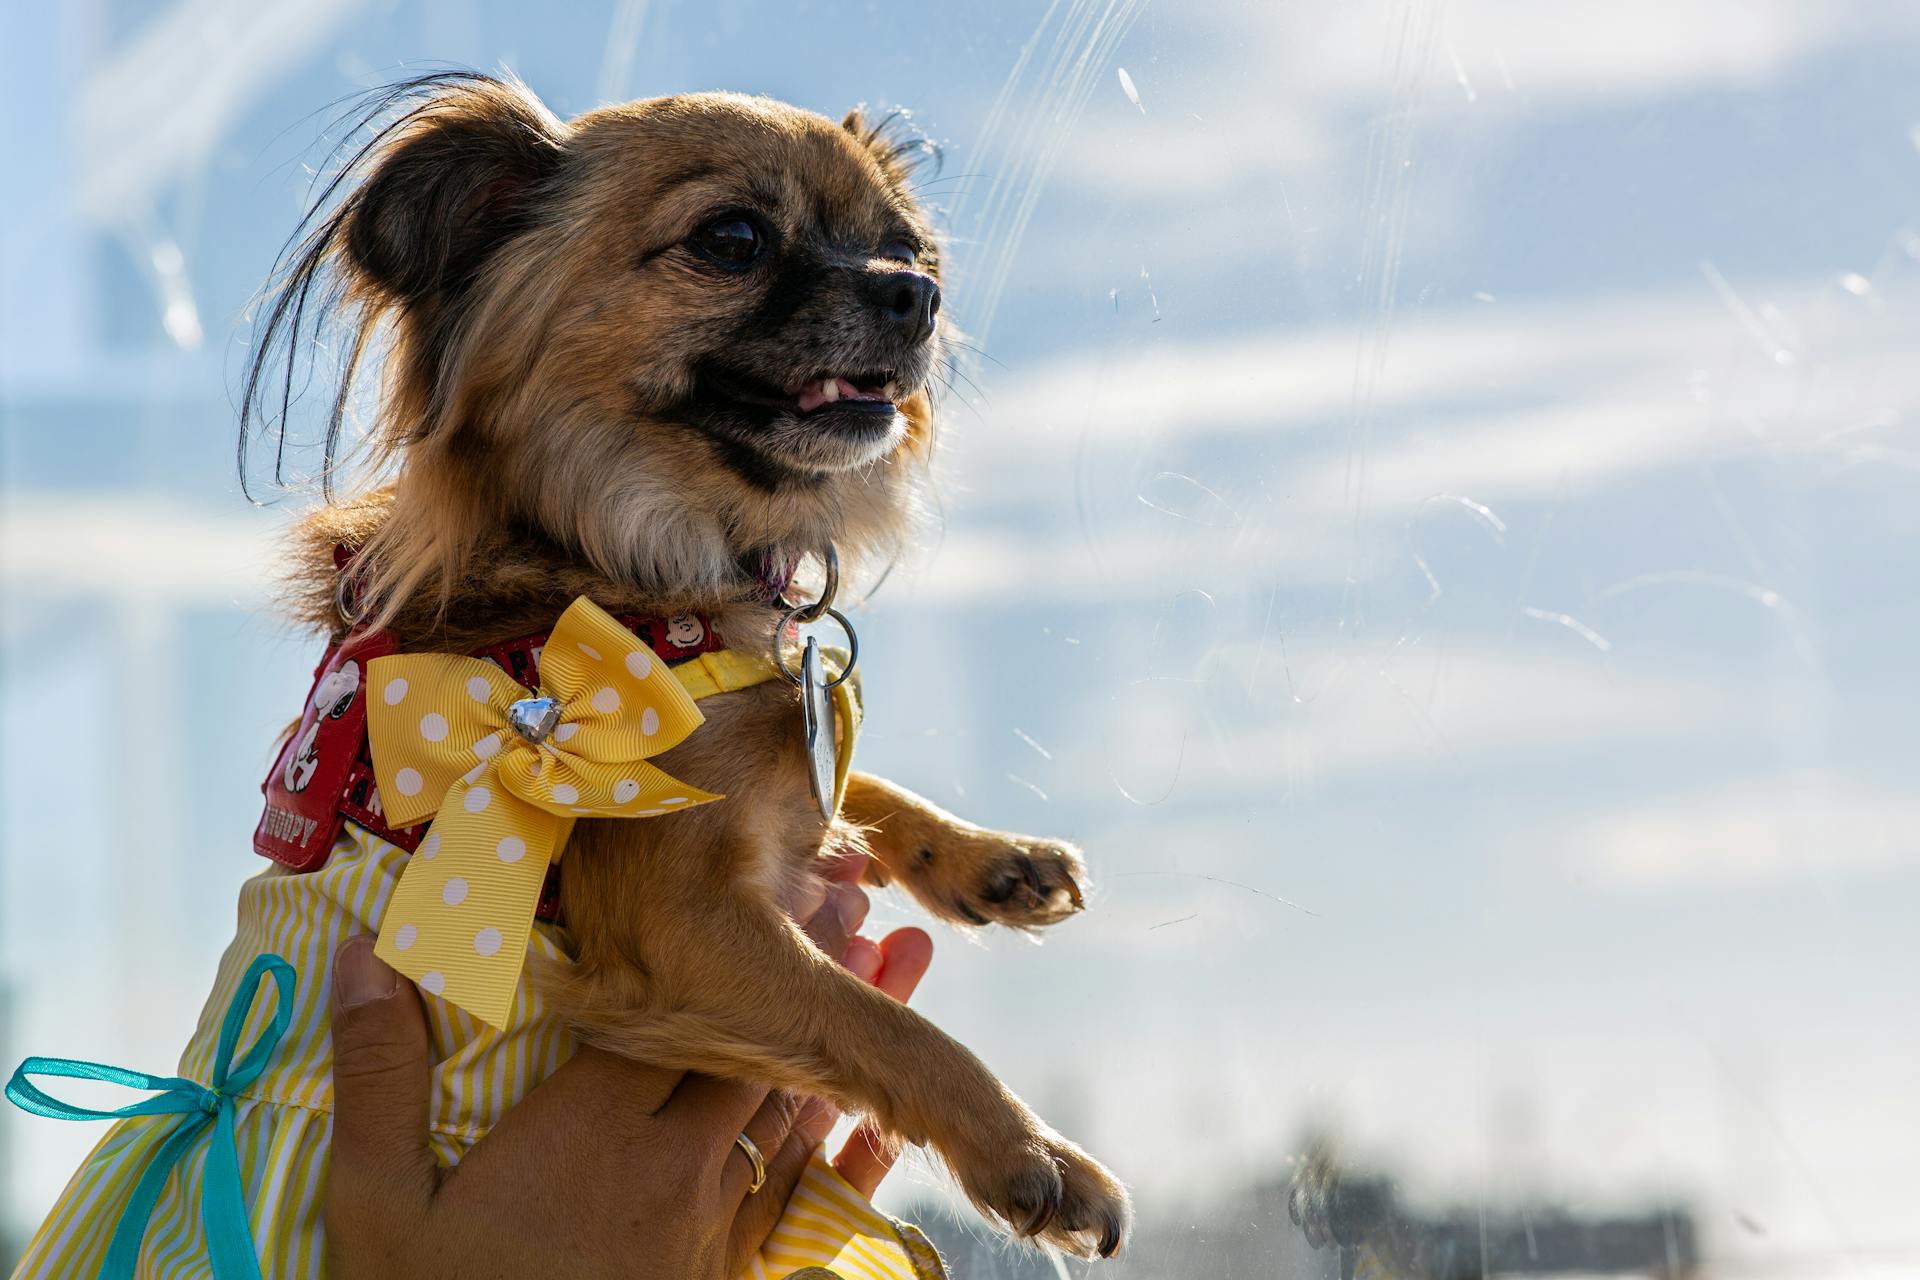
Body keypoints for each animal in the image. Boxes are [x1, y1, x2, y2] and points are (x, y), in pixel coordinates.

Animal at [247, 72, 1128, 1258]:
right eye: (733, 239)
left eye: (905, 248)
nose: (917, 294)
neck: (639, 564)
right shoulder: (681, 929)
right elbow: (881, 1023)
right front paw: (1035, 1152)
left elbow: (853, 778)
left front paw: (994, 857)